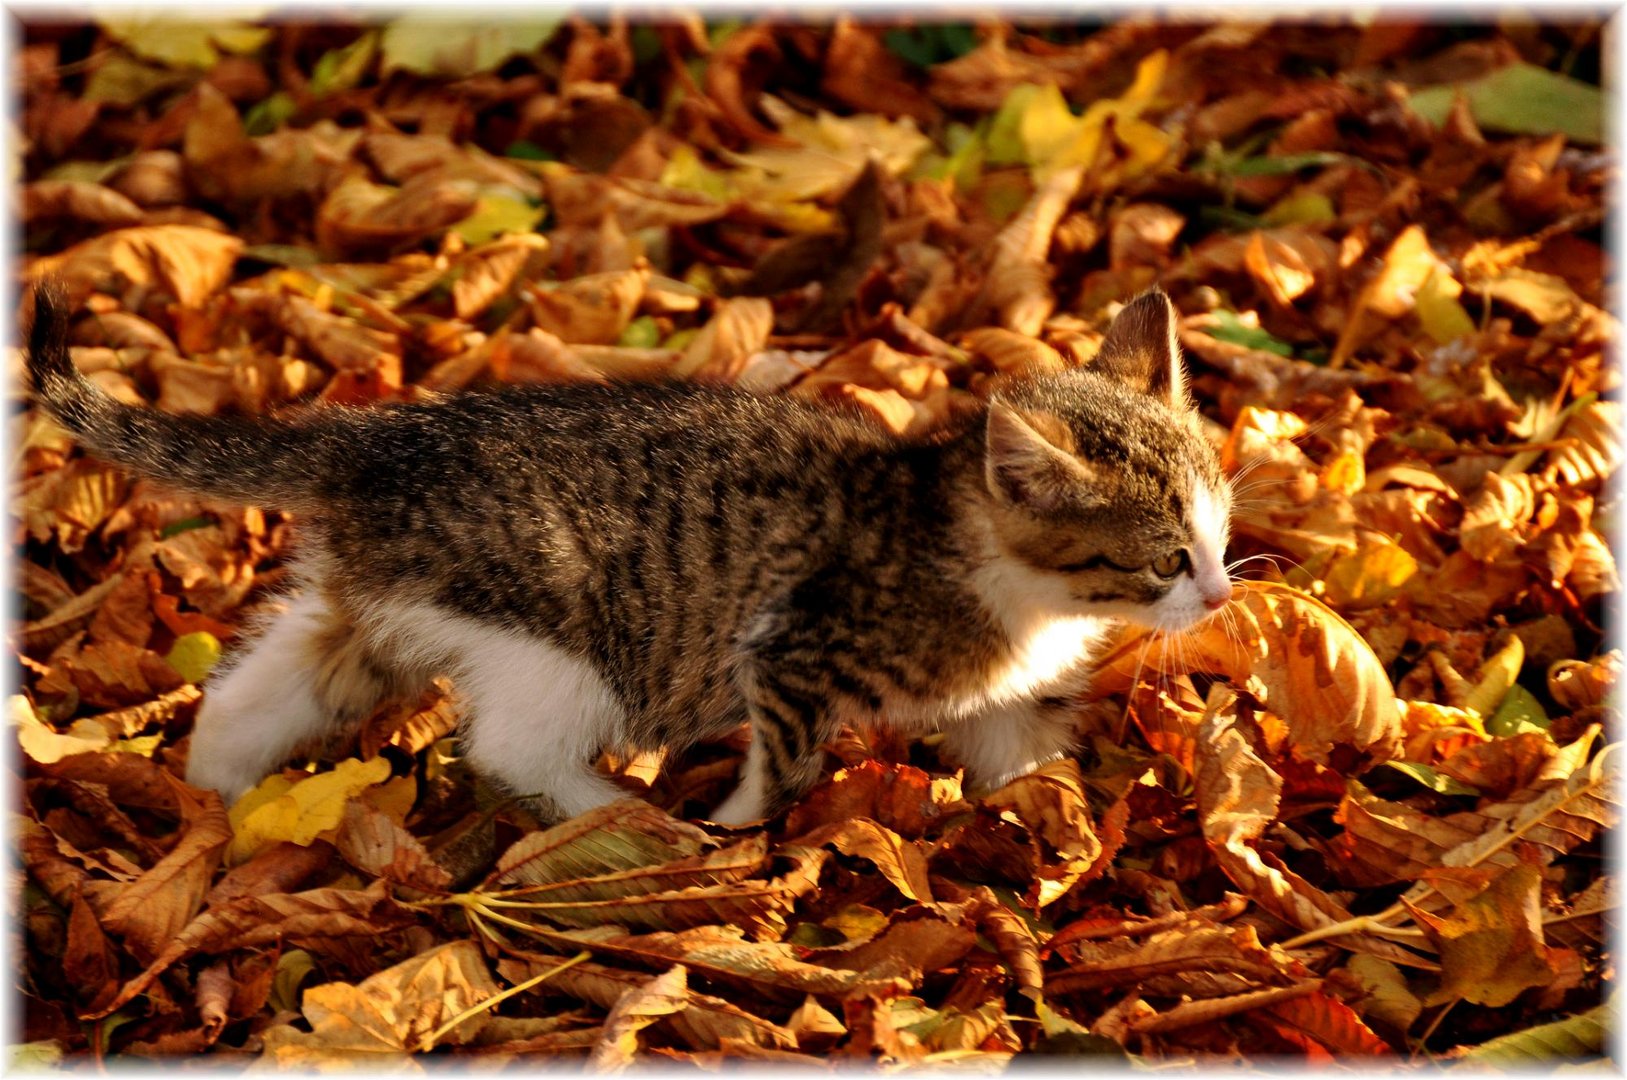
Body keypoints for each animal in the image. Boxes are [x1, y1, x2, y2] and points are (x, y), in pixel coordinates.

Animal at [28, 283, 1230, 823]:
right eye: (1165, 559)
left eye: (1221, 533)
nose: (1221, 597)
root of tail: (374, 436)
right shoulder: (792, 650)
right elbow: (784, 768)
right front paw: (741, 838)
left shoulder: (993, 683)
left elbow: (1016, 740)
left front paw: (1041, 816)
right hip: (560, 629)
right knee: (512, 745)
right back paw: (620, 817)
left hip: (389, 599)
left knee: (267, 688)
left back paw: (216, 803)